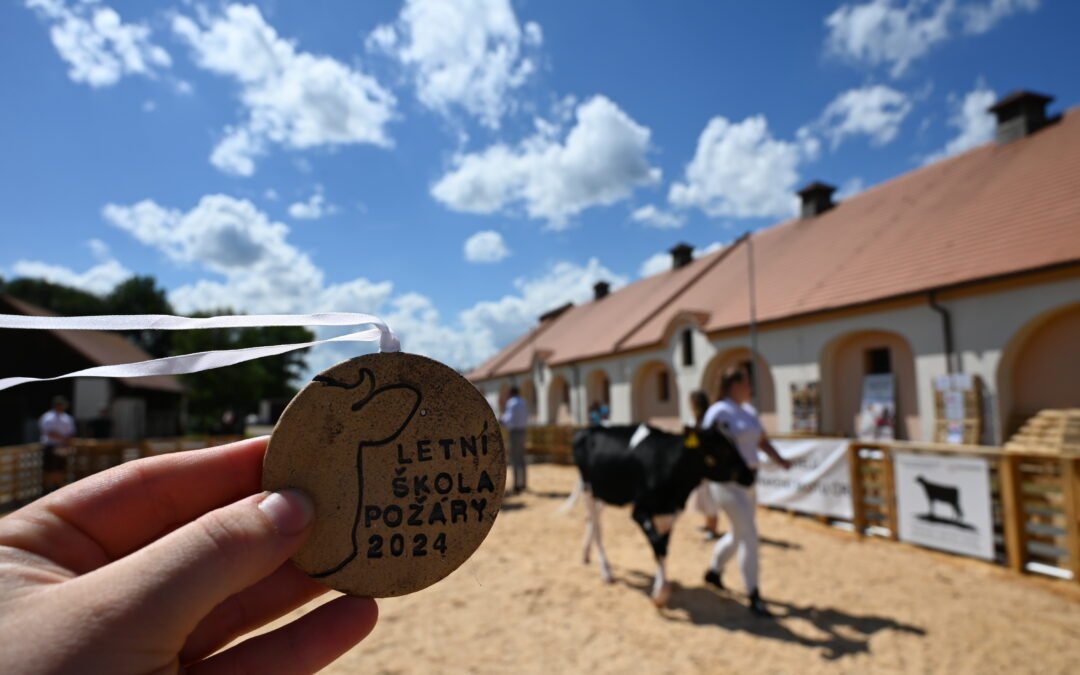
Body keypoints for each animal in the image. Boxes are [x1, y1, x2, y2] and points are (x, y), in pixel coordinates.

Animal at [570, 421, 747, 604]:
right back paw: (606, 571)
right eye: (722, 449)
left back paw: (586, 554)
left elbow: (663, 546)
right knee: (596, 525)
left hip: (605, 492)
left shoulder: (669, 513)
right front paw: (660, 594)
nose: (751, 473)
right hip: (589, 489)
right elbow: (659, 545)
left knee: (593, 520)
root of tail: (588, 428)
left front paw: (661, 586)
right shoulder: (640, 511)